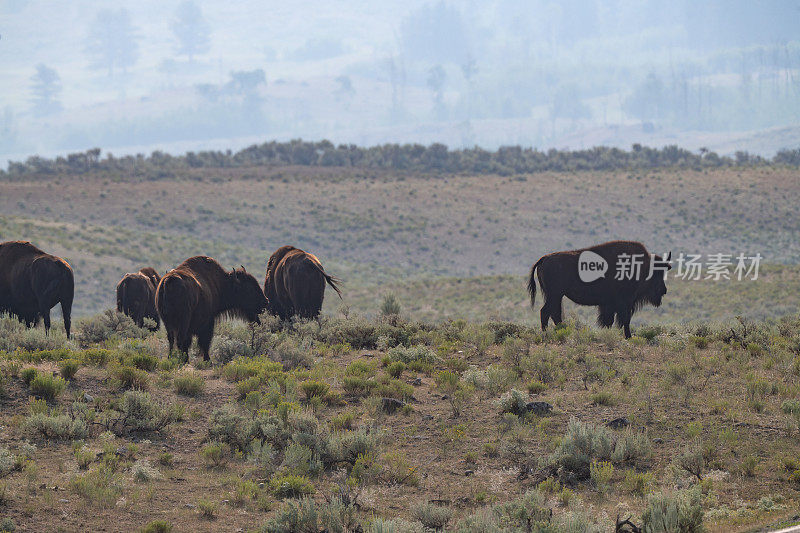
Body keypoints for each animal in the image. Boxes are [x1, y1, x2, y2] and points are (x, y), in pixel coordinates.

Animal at [528, 240, 672, 336]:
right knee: (546, 312)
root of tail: (544, 259)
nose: (664, 290)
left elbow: (610, 321)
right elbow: (624, 320)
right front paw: (629, 337)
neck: (641, 266)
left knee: (553, 313)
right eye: (657, 273)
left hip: (556, 296)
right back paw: (549, 333)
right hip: (555, 295)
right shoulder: (624, 302)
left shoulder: (611, 304)